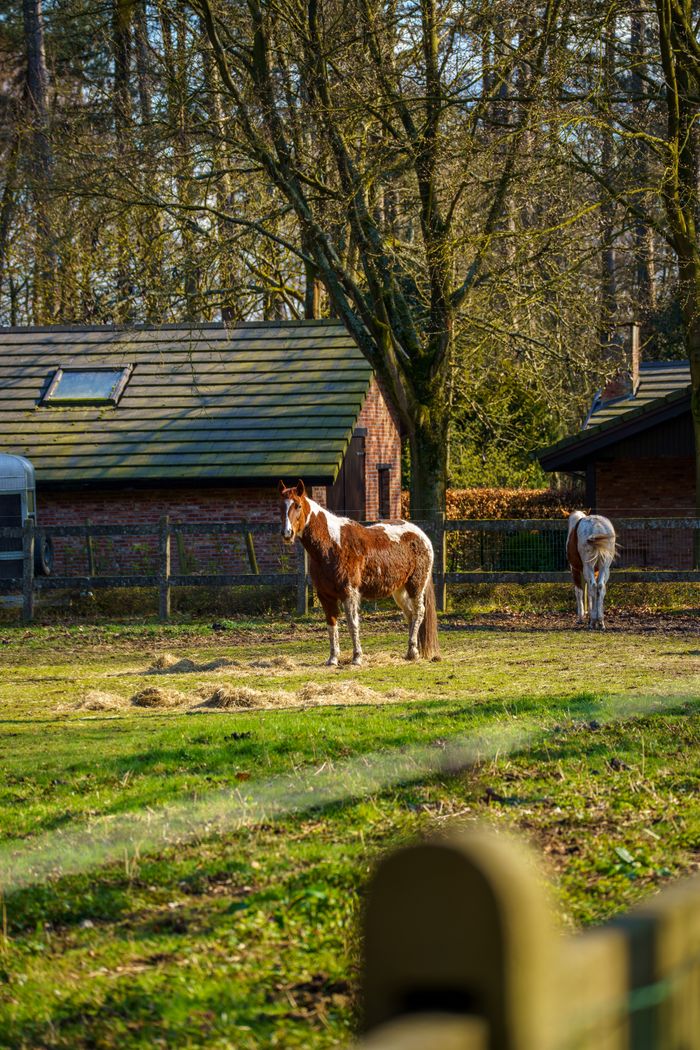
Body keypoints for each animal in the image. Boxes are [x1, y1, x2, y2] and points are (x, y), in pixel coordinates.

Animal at [278, 480, 439, 666]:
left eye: (297, 505)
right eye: (280, 506)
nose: (287, 533)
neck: (332, 545)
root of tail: (421, 535)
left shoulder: (349, 593)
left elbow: (352, 623)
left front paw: (357, 657)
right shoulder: (325, 595)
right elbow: (331, 624)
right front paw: (333, 659)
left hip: (416, 586)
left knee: (419, 612)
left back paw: (413, 651)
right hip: (399, 590)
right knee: (410, 614)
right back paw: (411, 651)